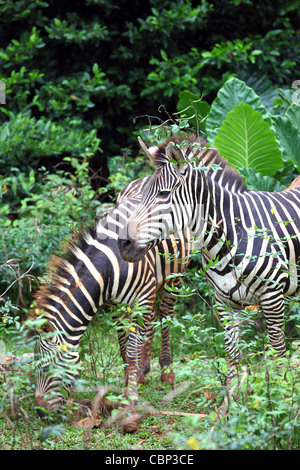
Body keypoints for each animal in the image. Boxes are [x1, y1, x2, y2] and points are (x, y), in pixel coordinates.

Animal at [32, 182, 192, 424]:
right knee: (152, 317)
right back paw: (144, 371)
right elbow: (124, 346)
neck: (109, 263)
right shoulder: (114, 305)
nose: (40, 413)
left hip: (175, 276)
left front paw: (130, 400)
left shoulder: (141, 297)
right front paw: (127, 386)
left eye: (51, 368)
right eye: (36, 368)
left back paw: (166, 372)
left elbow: (132, 351)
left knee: (165, 314)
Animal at [118, 133, 300, 382]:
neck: (227, 240)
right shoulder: (224, 302)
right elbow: (232, 357)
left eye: (163, 194)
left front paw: (283, 391)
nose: (122, 243)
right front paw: (233, 393)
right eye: (142, 193)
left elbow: (279, 355)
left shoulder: (272, 296)